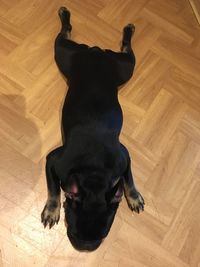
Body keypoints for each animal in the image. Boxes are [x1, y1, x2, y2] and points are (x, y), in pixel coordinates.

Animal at [41, 7, 144, 252]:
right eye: (72, 230)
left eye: (104, 235)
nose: (86, 248)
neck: (94, 174)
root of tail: (96, 51)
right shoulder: (53, 160)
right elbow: (53, 189)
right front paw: (51, 210)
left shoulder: (124, 156)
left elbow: (128, 178)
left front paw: (134, 196)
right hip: (67, 55)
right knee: (65, 32)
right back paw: (65, 14)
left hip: (122, 68)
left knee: (125, 47)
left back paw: (128, 29)